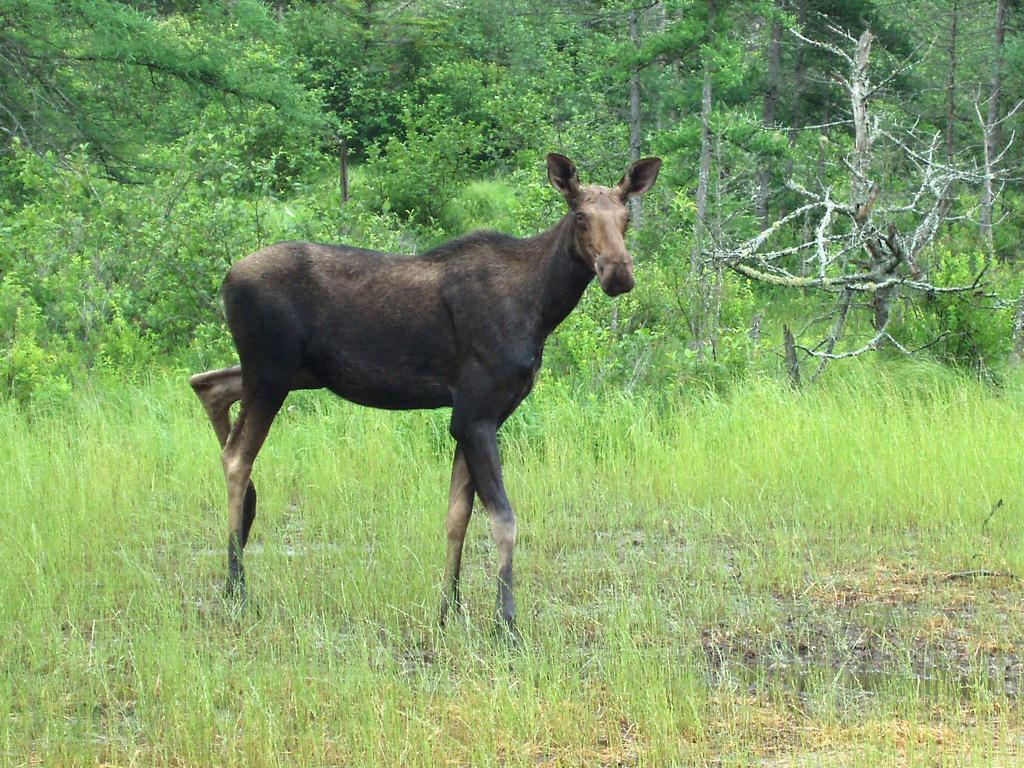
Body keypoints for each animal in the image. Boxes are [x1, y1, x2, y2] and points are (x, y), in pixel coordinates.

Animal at [188, 151, 659, 630]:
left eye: (625, 217)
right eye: (579, 215)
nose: (619, 273)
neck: (541, 309)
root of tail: (226, 280)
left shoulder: (477, 417)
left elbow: (457, 516)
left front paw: (449, 608)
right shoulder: (474, 414)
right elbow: (503, 519)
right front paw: (505, 621)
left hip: (292, 372)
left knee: (207, 385)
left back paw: (246, 523)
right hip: (272, 371)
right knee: (235, 456)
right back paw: (237, 586)